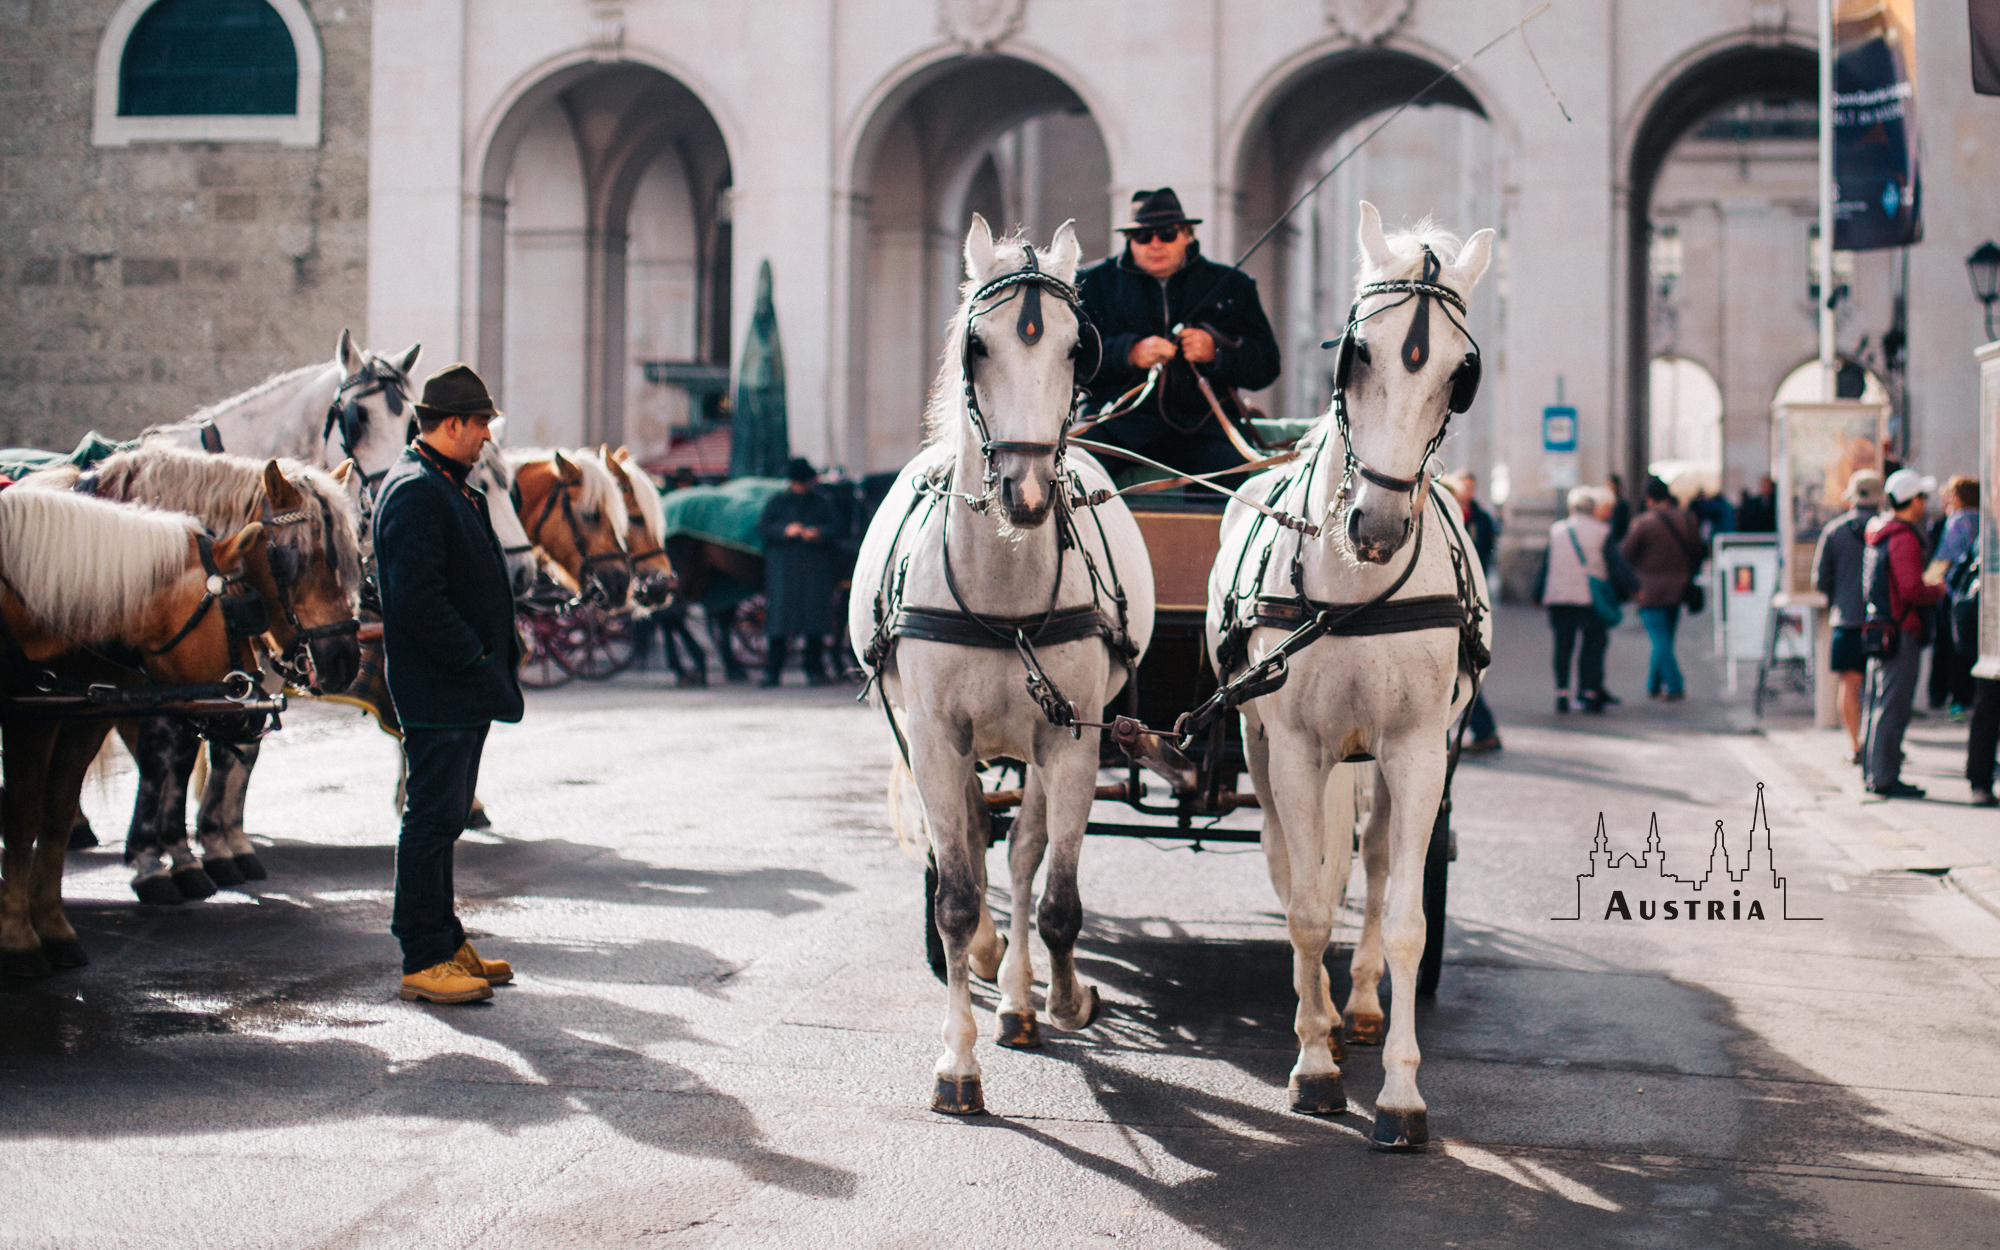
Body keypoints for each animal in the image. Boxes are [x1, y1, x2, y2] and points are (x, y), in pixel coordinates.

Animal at [0, 488, 274, 976]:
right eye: (239, 611)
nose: (256, 711)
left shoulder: (76, 716)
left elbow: (54, 814)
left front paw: (52, 929)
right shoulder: (29, 718)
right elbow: (20, 818)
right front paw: (18, 940)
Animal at [30, 446, 368, 896]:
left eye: (352, 560)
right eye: (298, 559)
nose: (343, 661)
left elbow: (203, 754)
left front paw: (197, 851)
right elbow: (164, 755)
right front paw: (156, 858)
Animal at [848, 219, 1160, 1120]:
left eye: (1075, 350)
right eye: (975, 347)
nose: (1024, 492)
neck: (1002, 590)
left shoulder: (1075, 741)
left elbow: (1054, 895)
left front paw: (1061, 996)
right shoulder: (933, 740)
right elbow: (955, 894)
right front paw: (958, 1060)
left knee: (1024, 853)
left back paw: (1022, 998)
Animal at [1200, 205, 1488, 1152]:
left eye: (1460, 374)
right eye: (1356, 352)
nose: (1376, 527)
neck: (1355, 593)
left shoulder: (1417, 751)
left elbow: (1403, 918)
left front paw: (1399, 1092)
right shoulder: (1293, 746)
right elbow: (1305, 904)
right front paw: (1313, 1063)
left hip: (1384, 763)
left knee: (1377, 860)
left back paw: (1356, 1007)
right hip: (1272, 748)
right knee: (1299, 865)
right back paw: (1324, 1019)